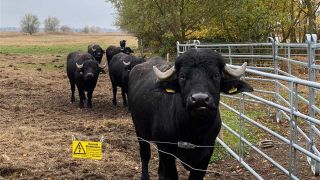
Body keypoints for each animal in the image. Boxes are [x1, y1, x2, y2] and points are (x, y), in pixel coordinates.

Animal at [129, 48, 254, 179]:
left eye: (216, 75)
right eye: (182, 76)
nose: (200, 99)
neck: (194, 131)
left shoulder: (207, 152)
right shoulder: (167, 150)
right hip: (139, 130)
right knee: (145, 154)